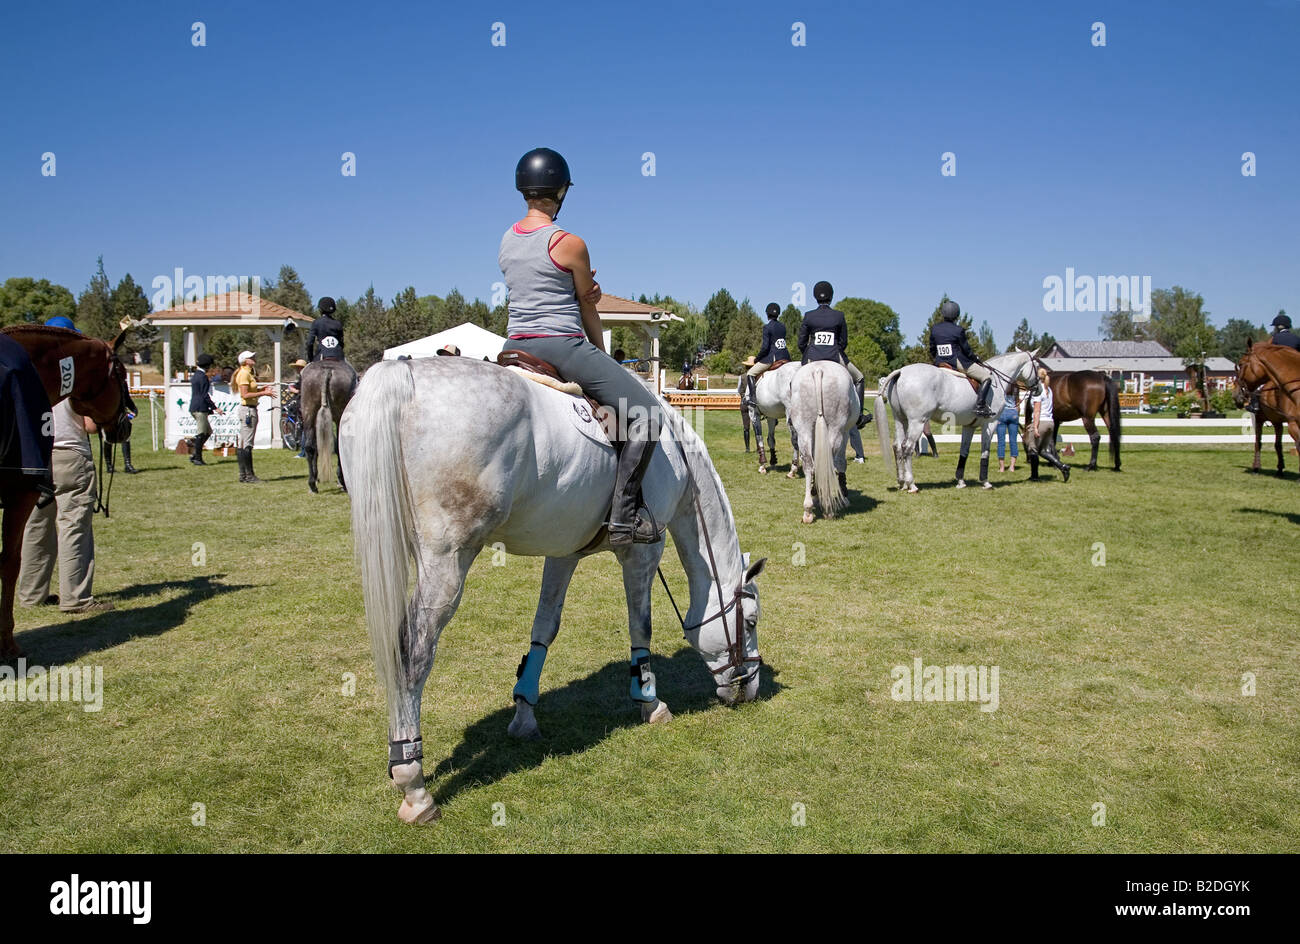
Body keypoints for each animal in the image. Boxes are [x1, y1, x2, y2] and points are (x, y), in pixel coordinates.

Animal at [296, 361, 356, 496]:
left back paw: (312, 485)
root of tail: (327, 370)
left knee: (309, 447)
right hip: (339, 416)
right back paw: (341, 481)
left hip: (309, 412)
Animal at [340, 358, 764, 826]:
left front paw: (524, 713)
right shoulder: (642, 552)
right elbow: (641, 626)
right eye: (749, 622)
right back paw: (413, 783)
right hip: (447, 560)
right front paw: (650, 701)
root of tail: (404, 374)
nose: (750, 687)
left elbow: (545, 626)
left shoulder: (564, 552)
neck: (677, 456)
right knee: (412, 654)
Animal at [785, 361, 857, 525]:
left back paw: (808, 510)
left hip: (803, 429)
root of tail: (818, 369)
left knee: (809, 465)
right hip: (836, 430)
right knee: (828, 463)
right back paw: (828, 508)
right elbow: (841, 463)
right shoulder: (845, 433)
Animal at [873, 348, 1045, 496]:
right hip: (917, 422)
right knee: (907, 448)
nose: (1039, 389)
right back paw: (912, 484)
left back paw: (901, 482)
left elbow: (964, 451)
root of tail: (902, 371)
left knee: (897, 447)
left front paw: (960, 481)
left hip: (901, 420)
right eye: (1037, 366)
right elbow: (985, 451)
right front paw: (985, 482)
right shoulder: (990, 424)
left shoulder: (969, 426)